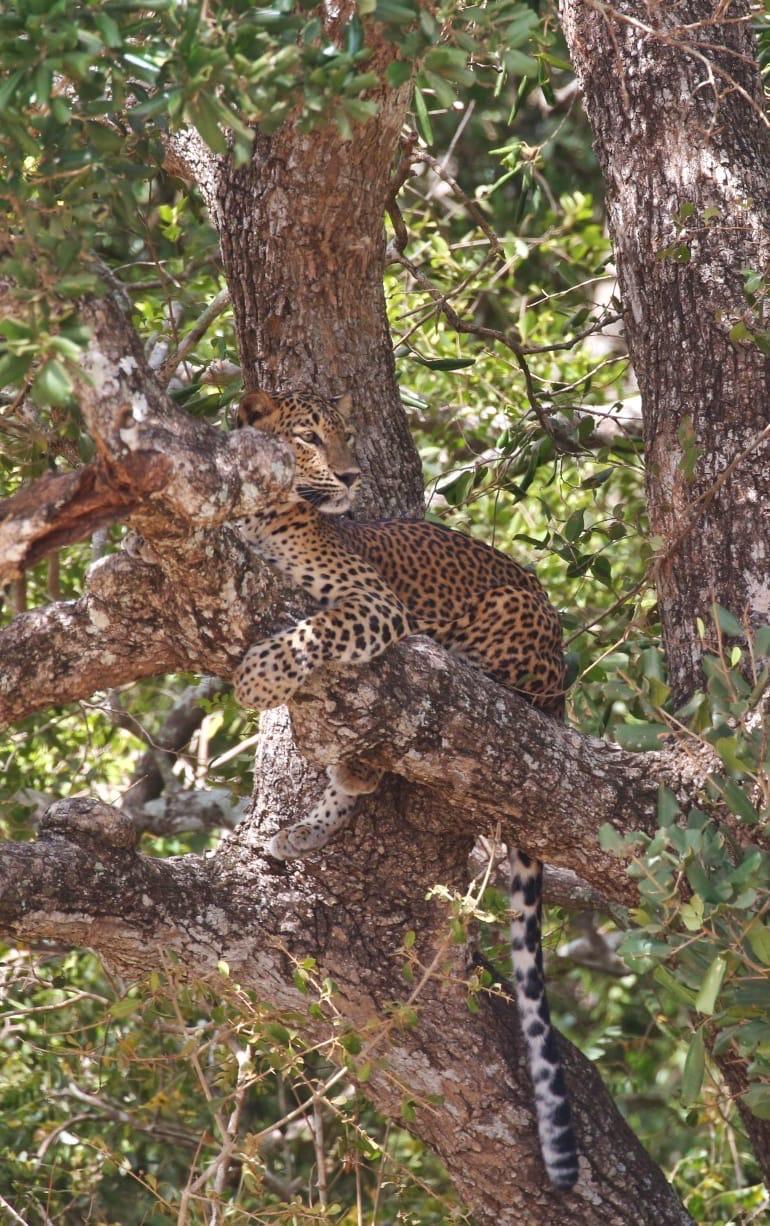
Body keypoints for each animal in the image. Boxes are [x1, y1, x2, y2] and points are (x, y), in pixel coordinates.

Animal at [233, 387, 578, 1191]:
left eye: (347, 432)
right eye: (309, 436)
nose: (354, 476)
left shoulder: (372, 602)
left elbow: (315, 632)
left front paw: (260, 674)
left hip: (511, 628)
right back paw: (316, 816)